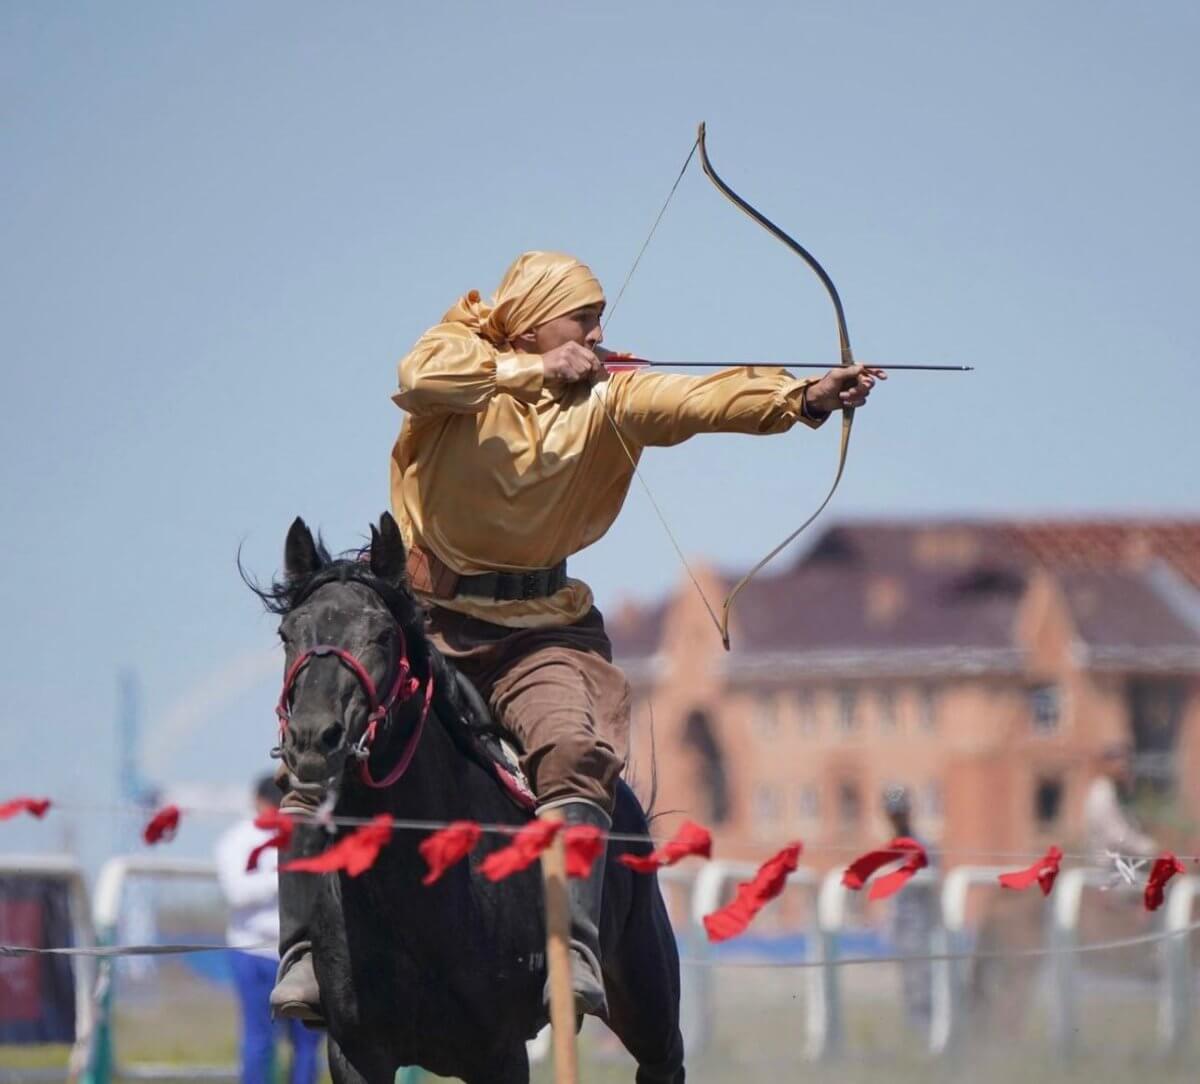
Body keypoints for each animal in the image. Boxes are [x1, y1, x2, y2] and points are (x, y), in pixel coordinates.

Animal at [253, 516, 686, 1084]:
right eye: (288, 634)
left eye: (382, 635)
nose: (312, 738)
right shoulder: (356, 1052)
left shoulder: (500, 1053)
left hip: (648, 996)